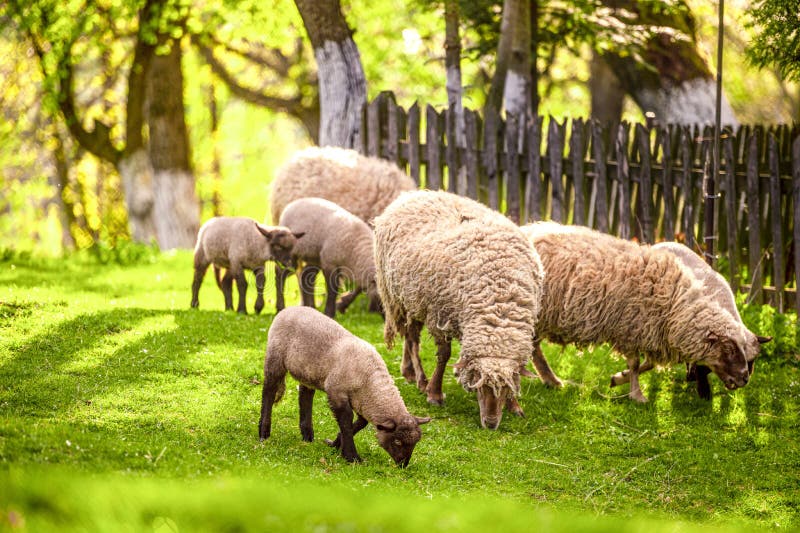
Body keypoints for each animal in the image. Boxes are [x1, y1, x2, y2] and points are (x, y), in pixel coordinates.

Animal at [260, 304, 428, 466]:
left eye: (415, 443)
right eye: (397, 441)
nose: (403, 465)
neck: (370, 379)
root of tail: (289, 309)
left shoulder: (360, 401)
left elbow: (361, 423)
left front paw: (335, 444)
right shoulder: (336, 392)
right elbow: (346, 421)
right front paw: (351, 456)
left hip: (307, 371)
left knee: (305, 397)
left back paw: (307, 436)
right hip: (275, 357)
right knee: (269, 390)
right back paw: (263, 433)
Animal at [374, 189, 552, 430]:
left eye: (504, 388)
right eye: (480, 385)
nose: (491, 424)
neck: (499, 305)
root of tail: (412, 194)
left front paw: (515, 406)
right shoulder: (440, 314)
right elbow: (444, 356)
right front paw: (434, 393)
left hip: (414, 298)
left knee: (410, 336)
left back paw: (408, 371)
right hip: (397, 296)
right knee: (412, 340)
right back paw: (421, 379)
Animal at [520, 221, 752, 404]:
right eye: (729, 349)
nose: (745, 378)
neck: (675, 302)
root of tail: (526, 229)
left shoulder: (652, 332)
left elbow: (647, 364)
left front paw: (619, 379)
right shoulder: (630, 329)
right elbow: (635, 364)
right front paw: (637, 395)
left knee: (532, 346)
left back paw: (544, 378)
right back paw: (543, 377)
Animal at [652, 241, 772, 400]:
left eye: (752, 360)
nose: (747, 378)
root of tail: (662, 243)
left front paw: (694, 377)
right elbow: (702, 368)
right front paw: (704, 392)